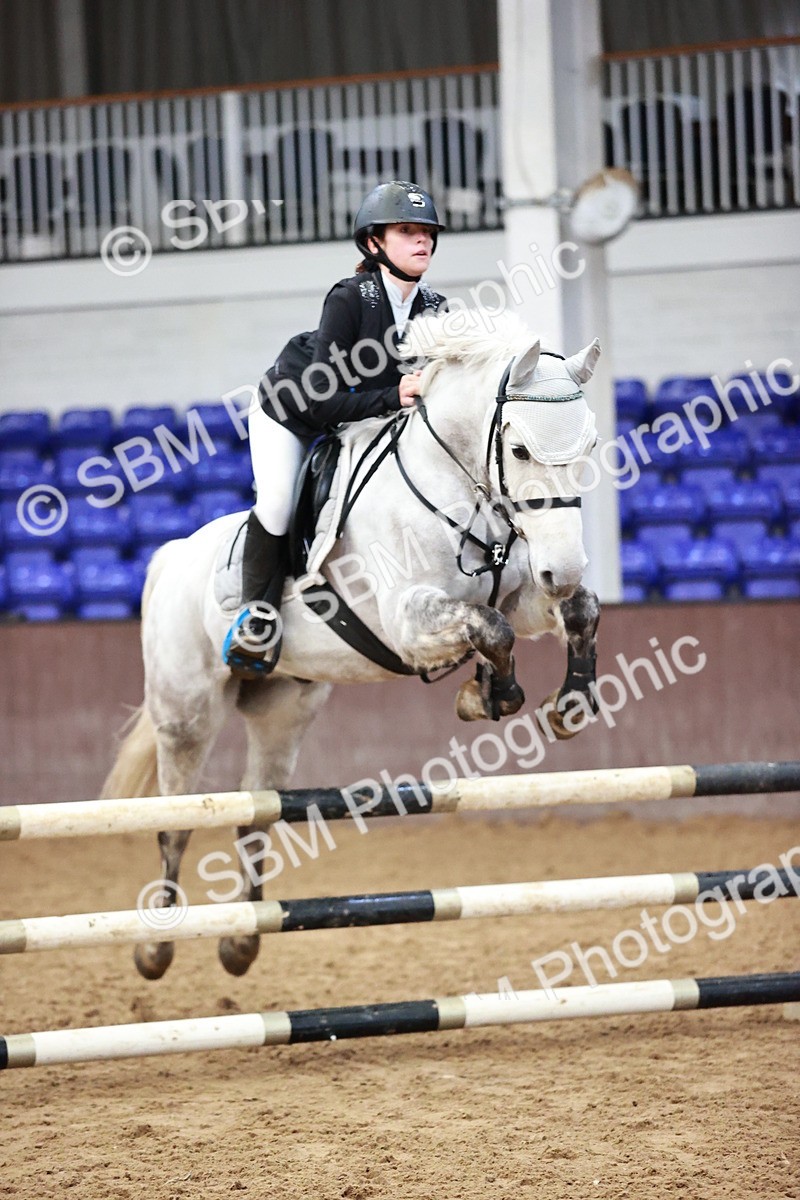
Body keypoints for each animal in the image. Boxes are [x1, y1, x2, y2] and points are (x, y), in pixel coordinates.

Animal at [102, 309, 602, 980]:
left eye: (591, 446)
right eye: (519, 449)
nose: (564, 567)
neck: (455, 494)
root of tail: (171, 555)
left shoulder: (523, 596)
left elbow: (574, 610)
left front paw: (566, 703)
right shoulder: (408, 621)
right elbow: (489, 630)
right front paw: (492, 694)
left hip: (282, 710)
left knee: (255, 817)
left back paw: (241, 942)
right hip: (186, 713)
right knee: (174, 823)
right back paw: (155, 947)